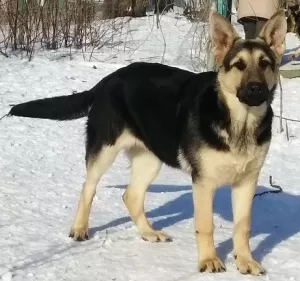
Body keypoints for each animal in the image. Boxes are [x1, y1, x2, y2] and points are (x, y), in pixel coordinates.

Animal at [8, 10, 288, 274]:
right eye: (239, 65)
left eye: (265, 63)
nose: (255, 89)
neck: (240, 122)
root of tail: (108, 80)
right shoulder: (203, 183)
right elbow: (205, 225)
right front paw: (208, 261)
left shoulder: (246, 182)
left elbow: (243, 226)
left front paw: (246, 262)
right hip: (104, 151)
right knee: (88, 189)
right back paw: (79, 228)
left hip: (150, 158)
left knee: (131, 196)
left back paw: (148, 233)